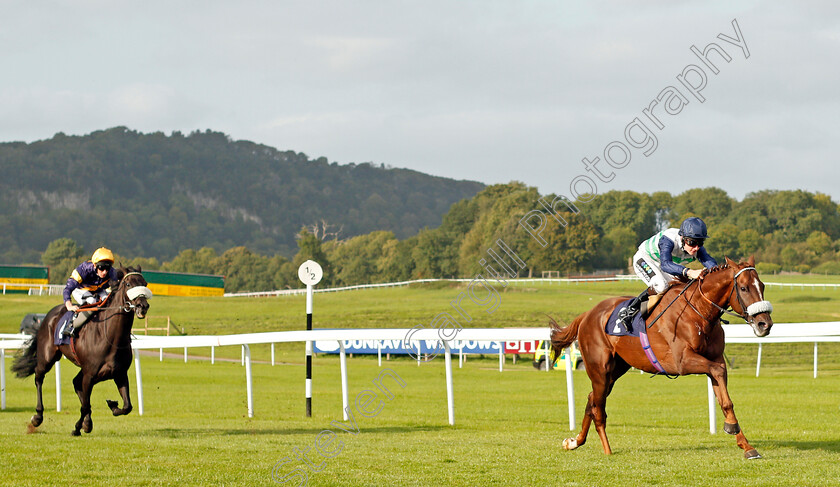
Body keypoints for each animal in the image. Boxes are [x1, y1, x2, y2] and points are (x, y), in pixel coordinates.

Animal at [12, 268, 153, 436]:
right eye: (128, 284)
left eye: (145, 284)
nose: (142, 305)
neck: (110, 337)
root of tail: (49, 315)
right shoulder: (90, 374)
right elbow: (85, 405)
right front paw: (77, 428)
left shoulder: (119, 373)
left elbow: (127, 406)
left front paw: (111, 406)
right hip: (47, 357)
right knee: (39, 377)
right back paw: (38, 416)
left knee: (76, 382)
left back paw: (87, 422)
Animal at [552, 258, 776, 460]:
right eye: (744, 288)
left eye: (763, 286)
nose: (765, 324)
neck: (699, 311)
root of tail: (587, 315)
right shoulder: (682, 362)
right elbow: (717, 373)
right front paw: (732, 428)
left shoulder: (716, 359)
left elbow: (725, 399)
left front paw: (746, 445)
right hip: (600, 369)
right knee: (598, 407)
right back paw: (607, 450)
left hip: (615, 370)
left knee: (592, 400)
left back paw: (574, 442)